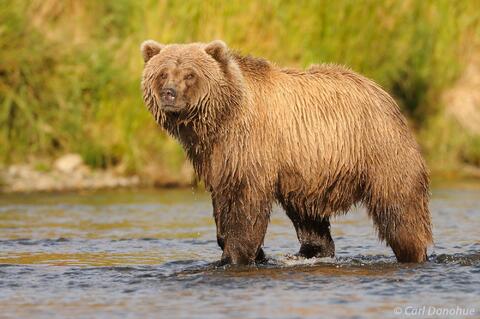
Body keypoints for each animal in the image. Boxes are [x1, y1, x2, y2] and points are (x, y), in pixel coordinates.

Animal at [141, 39, 434, 264]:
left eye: (190, 74)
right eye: (163, 73)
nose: (169, 93)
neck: (221, 118)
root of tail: (383, 92)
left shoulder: (251, 146)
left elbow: (245, 204)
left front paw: (235, 255)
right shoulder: (217, 155)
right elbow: (222, 200)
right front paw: (248, 251)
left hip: (380, 148)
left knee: (400, 208)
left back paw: (413, 252)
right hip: (309, 171)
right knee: (308, 216)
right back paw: (312, 251)